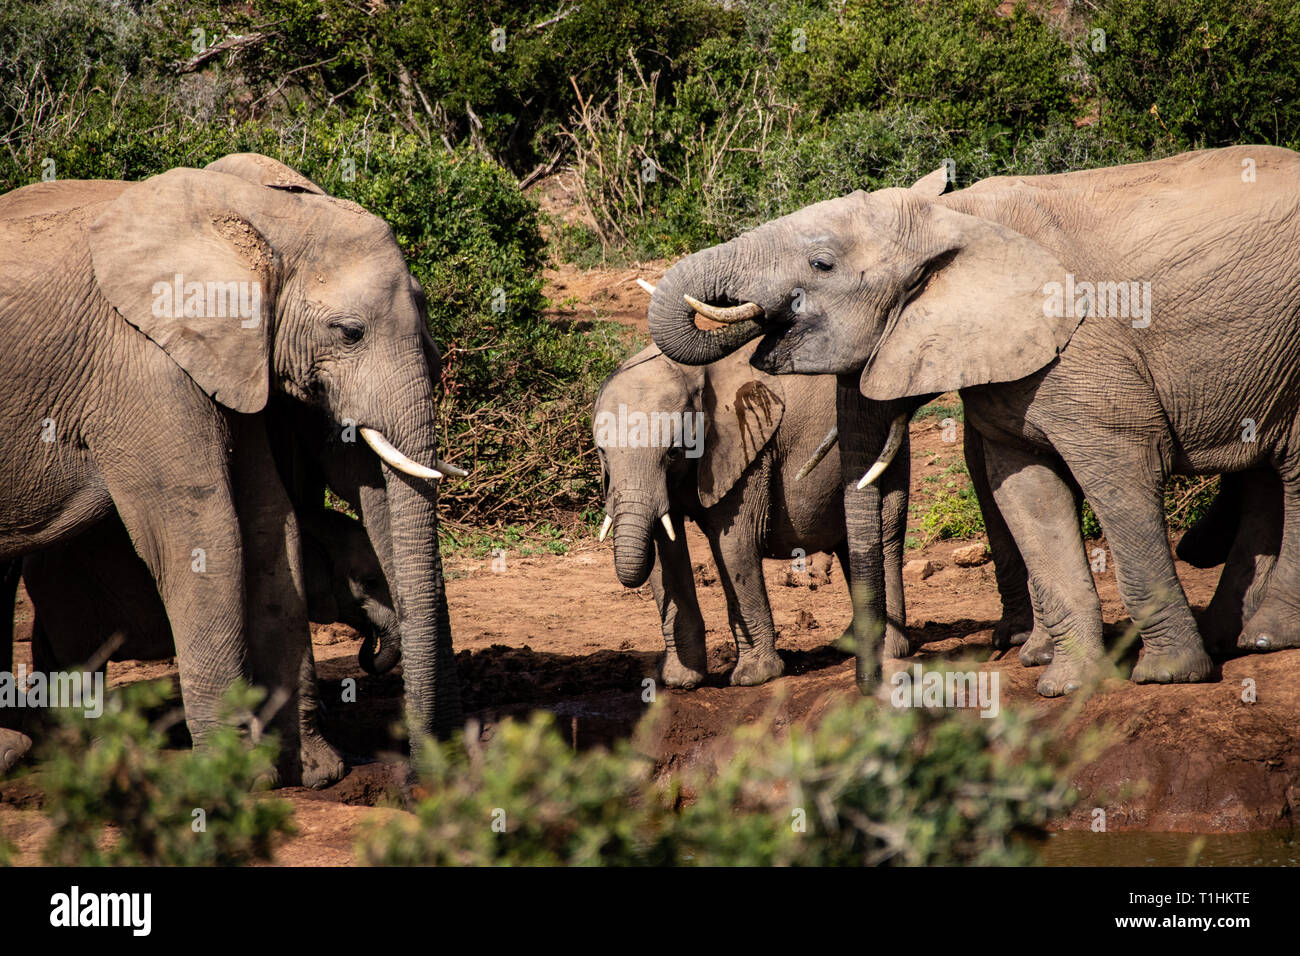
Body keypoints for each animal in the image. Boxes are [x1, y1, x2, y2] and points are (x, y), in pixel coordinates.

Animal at [0, 153, 465, 780]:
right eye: (349, 332)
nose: (419, 776)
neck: (264, 218)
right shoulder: (141, 364)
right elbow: (204, 533)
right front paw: (233, 778)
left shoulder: (233, 362)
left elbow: (271, 525)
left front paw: (313, 772)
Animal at [592, 343, 904, 686]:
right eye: (602, 453)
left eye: (673, 452)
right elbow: (665, 555)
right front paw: (679, 681)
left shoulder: (744, 446)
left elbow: (734, 544)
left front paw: (754, 678)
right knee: (852, 545)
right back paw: (847, 645)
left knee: (886, 532)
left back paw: (890, 652)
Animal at [650, 145, 1300, 697]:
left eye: (821, 263)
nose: (876, 685)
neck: (953, 217)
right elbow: (1025, 492)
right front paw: (1069, 686)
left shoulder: (1089, 352)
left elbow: (1121, 477)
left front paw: (1169, 677)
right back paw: (1235, 637)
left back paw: (1264, 638)